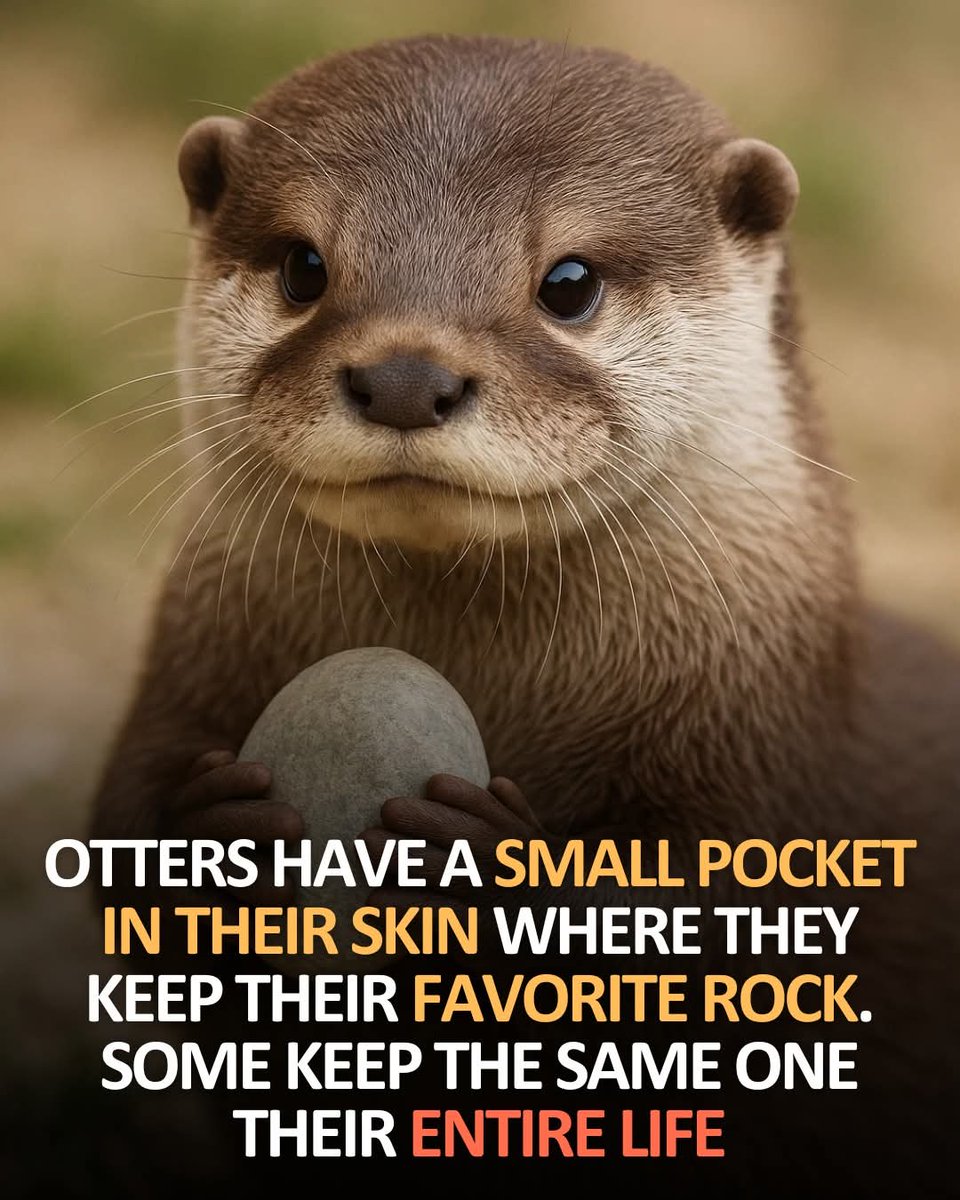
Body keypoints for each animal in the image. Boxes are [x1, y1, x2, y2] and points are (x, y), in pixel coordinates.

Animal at [90, 35, 958, 1193]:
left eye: (570, 282)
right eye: (303, 268)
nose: (404, 376)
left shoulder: (769, 749)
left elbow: (705, 945)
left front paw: (488, 865)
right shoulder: (190, 659)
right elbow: (118, 827)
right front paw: (208, 838)